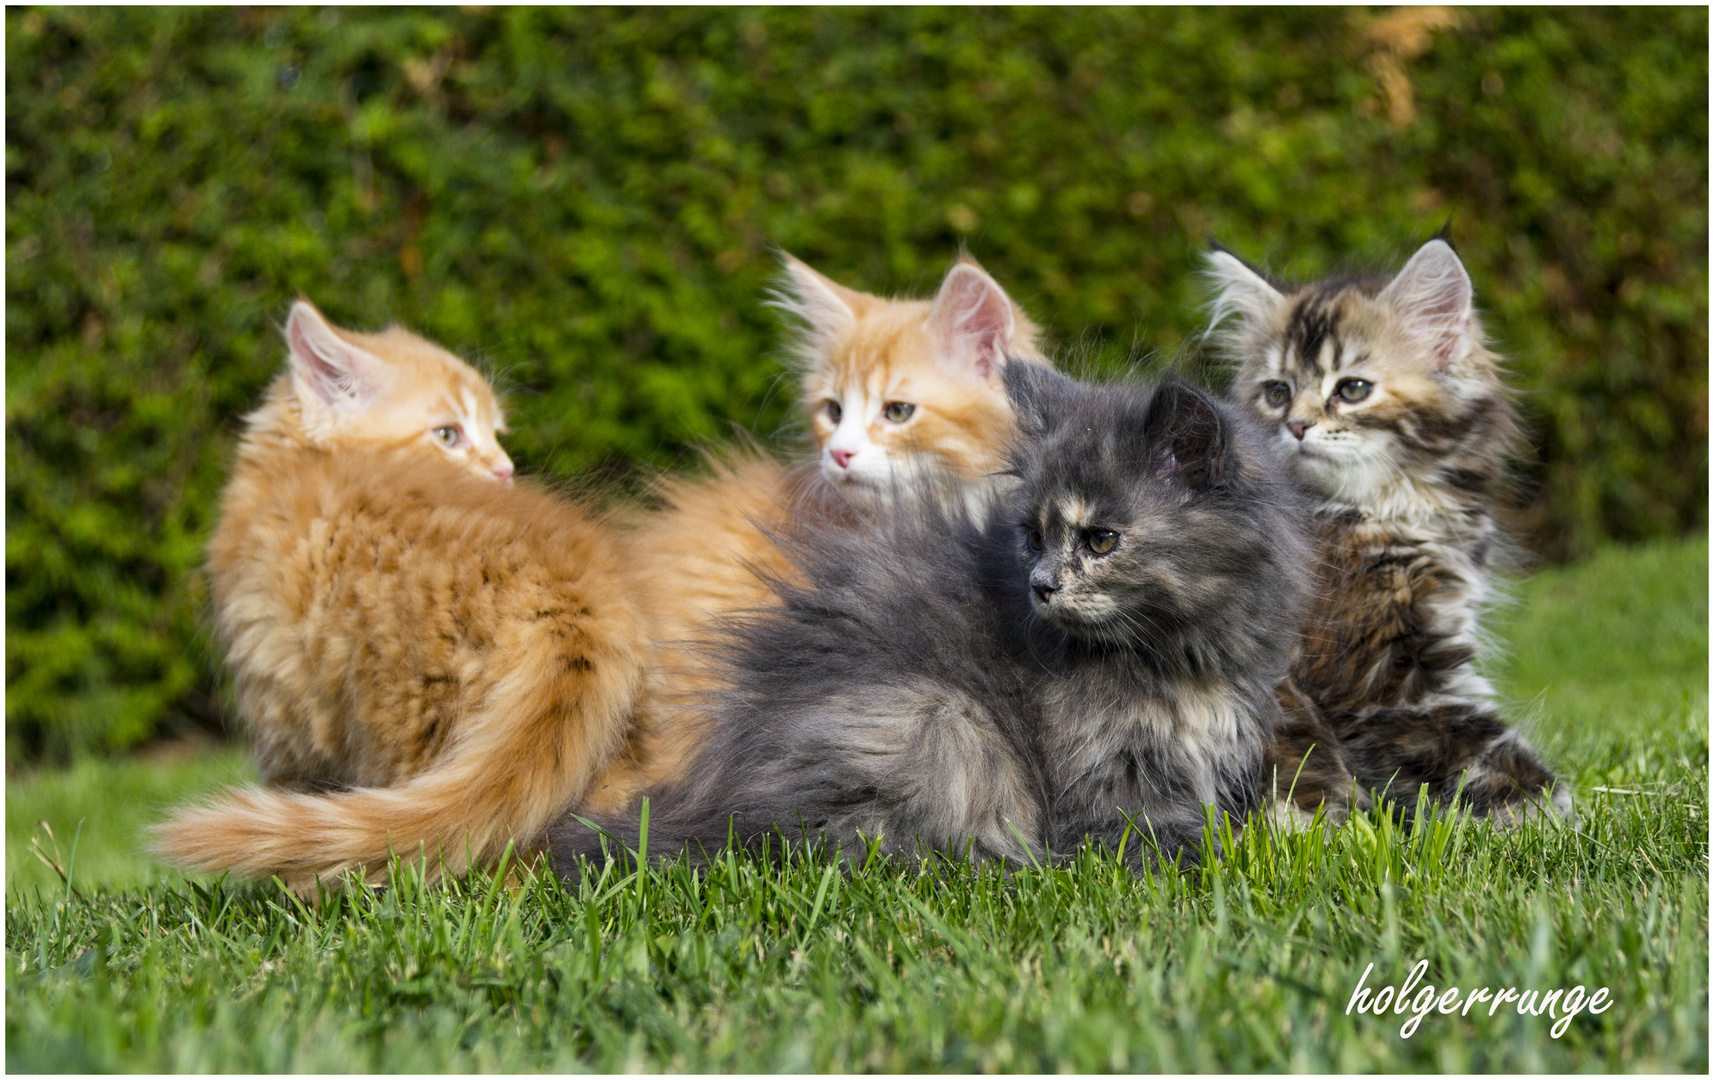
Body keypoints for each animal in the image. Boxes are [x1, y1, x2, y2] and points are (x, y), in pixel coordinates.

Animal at [152, 300, 647, 891]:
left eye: (494, 434)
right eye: (448, 435)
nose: (505, 471)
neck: (299, 463)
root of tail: (567, 593)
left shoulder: (282, 695)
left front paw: (290, 892)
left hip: (403, 710)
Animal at [548, 368, 1309, 877]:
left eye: (1100, 540)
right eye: (1032, 537)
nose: (1040, 585)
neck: (1177, 657)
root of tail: (723, 804)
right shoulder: (1105, 776)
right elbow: (1155, 839)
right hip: (941, 722)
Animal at [1206, 238, 1570, 829]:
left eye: (1352, 389)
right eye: (1277, 393)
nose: (1295, 425)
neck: (1383, 506)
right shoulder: (1384, 679)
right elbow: (1483, 745)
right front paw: (1544, 811)